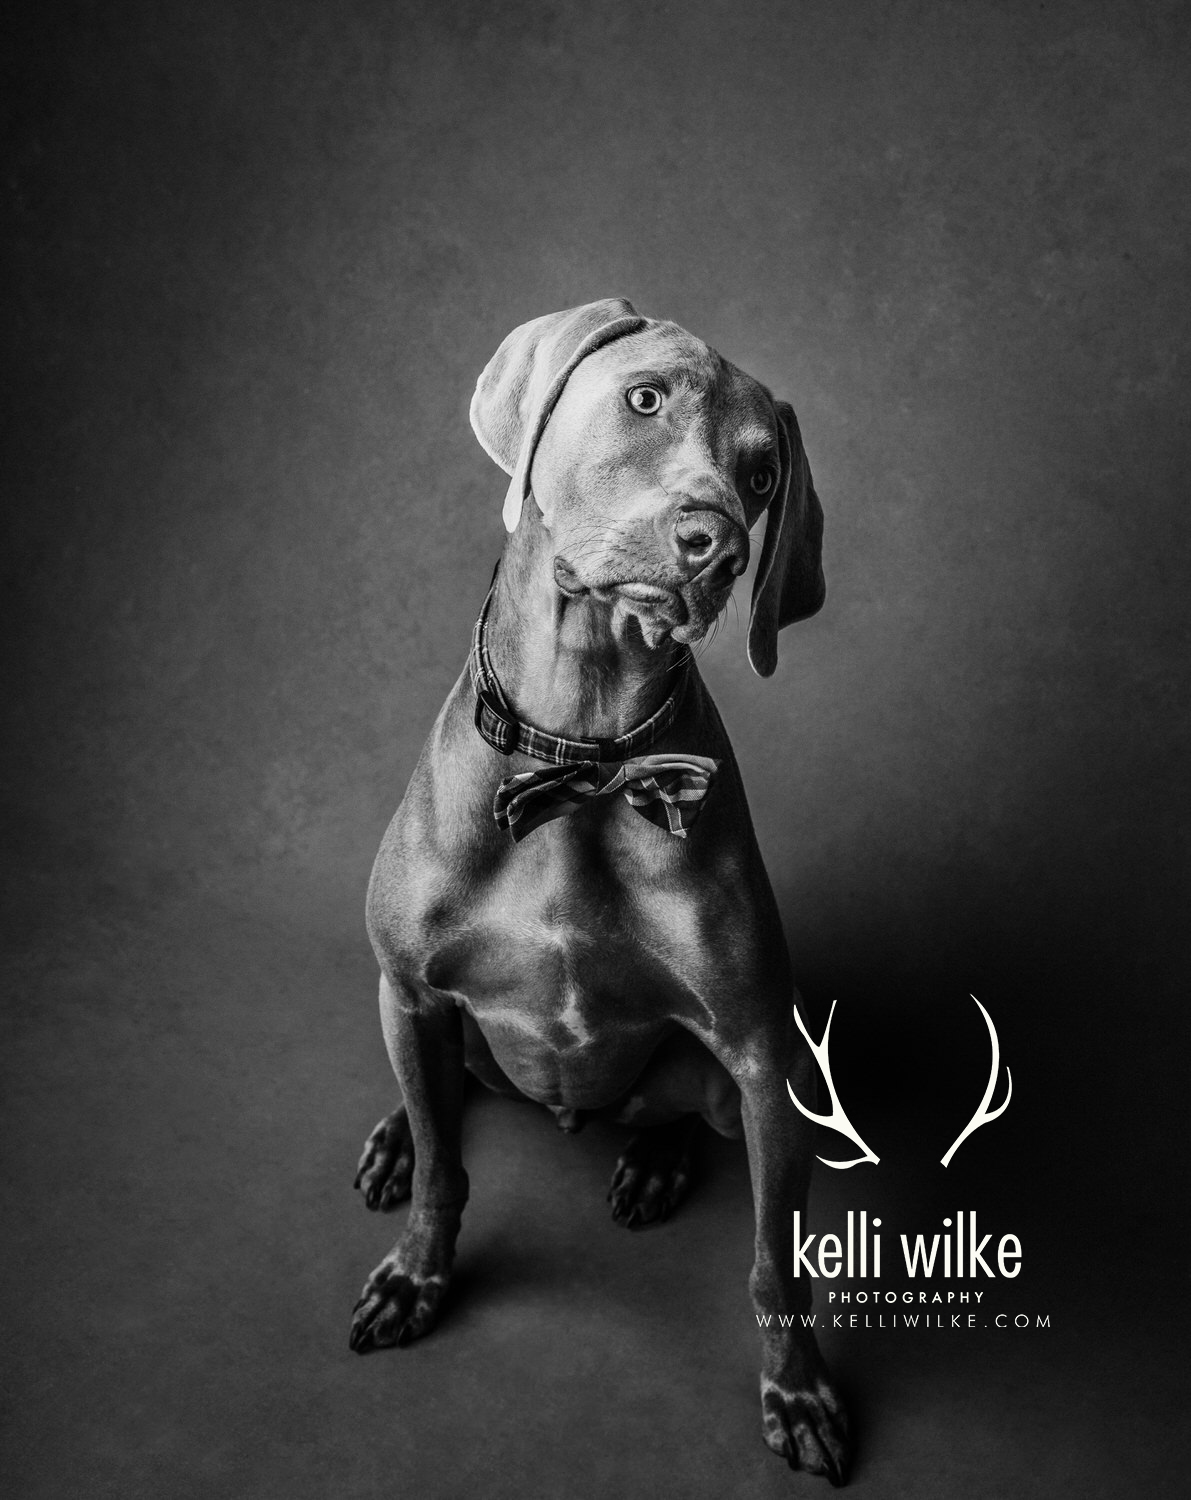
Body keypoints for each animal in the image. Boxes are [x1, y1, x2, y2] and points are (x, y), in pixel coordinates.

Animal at [348, 298, 852, 1482]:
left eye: (763, 474)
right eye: (645, 398)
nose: (714, 539)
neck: (580, 757)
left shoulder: (762, 1049)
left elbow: (773, 1259)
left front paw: (796, 1390)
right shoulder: (413, 984)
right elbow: (446, 1177)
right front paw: (415, 1277)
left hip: (717, 1079)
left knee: (678, 1111)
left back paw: (655, 1159)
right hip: (415, 1015)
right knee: (440, 1096)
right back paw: (395, 1137)